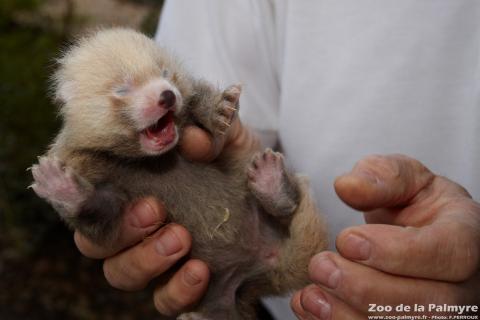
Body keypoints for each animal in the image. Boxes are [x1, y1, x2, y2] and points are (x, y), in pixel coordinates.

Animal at [30, 28, 328, 318]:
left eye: (164, 72)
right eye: (122, 88)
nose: (167, 96)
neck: (154, 161)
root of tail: (266, 261)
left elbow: (200, 101)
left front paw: (220, 108)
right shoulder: (92, 169)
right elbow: (100, 216)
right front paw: (60, 186)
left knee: (286, 208)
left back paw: (270, 181)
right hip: (221, 293)